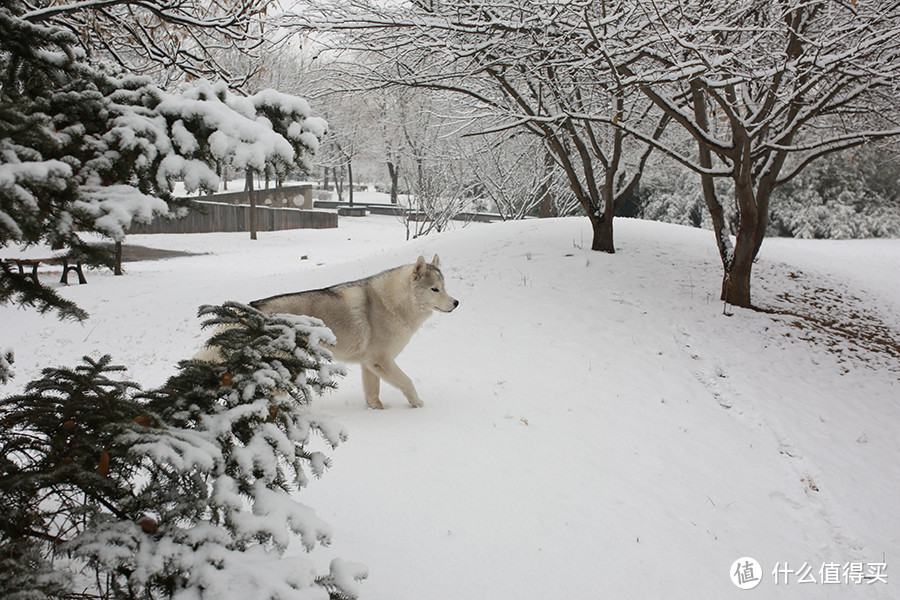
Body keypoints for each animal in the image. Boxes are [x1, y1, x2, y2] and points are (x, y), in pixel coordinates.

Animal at [248, 255, 454, 410]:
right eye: (434, 289)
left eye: (444, 288)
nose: (456, 302)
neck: (394, 304)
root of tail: (253, 310)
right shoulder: (382, 360)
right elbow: (408, 381)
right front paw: (417, 404)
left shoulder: (369, 364)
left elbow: (373, 393)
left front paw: (378, 409)